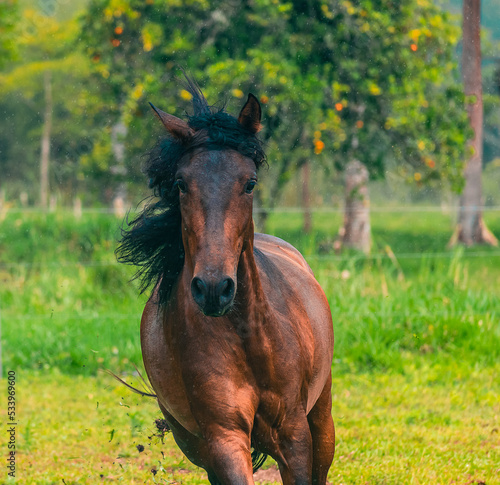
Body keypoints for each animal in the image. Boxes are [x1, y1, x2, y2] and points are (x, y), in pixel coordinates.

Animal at [117, 77, 334, 482]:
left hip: (321, 414)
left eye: (250, 183)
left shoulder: (294, 434)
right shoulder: (224, 436)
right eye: (181, 184)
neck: (249, 338)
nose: (214, 289)